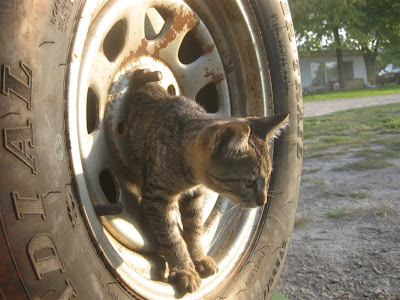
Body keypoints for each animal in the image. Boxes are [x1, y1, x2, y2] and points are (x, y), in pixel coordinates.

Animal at [126, 69, 290, 292]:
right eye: (248, 182)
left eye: (267, 178)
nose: (262, 201)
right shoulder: (157, 197)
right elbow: (171, 236)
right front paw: (184, 269)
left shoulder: (195, 196)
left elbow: (194, 229)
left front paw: (199, 258)